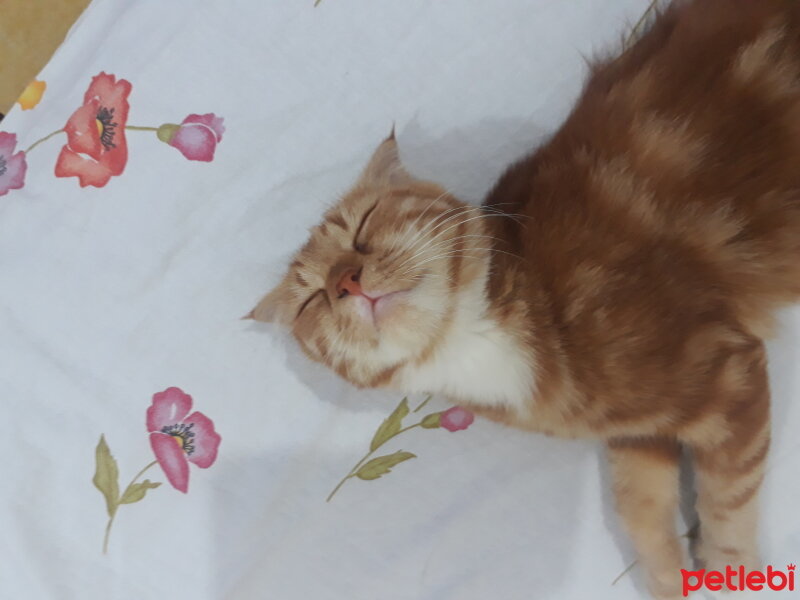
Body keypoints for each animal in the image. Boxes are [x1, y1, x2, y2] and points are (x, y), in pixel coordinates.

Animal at [248, 2, 800, 596]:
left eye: (363, 227)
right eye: (313, 299)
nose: (347, 281)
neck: (482, 345)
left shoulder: (728, 375)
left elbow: (726, 514)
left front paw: (731, 573)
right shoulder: (641, 432)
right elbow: (640, 513)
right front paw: (673, 580)